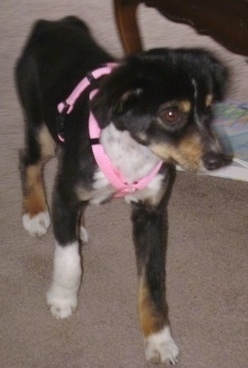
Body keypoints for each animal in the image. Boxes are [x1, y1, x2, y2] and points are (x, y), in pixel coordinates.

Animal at [14, 15, 230, 364]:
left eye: (209, 109)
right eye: (171, 113)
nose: (217, 160)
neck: (132, 149)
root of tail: (52, 23)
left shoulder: (152, 213)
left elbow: (152, 284)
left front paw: (158, 339)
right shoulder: (66, 191)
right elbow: (69, 259)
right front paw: (62, 298)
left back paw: (76, 225)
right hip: (39, 126)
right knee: (29, 159)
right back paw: (36, 214)